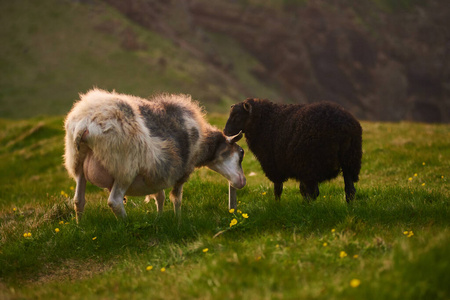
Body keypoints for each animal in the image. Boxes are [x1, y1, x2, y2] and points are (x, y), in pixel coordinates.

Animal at [224, 99, 362, 203]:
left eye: (237, 115)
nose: (225, 132)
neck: (266, 120)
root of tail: (343, 125)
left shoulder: (276, 165)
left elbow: (278, 189)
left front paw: (277, 206)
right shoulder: (298, 164)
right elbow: (302, 189)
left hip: (314, 161)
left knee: (314, 192)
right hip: (350, 160)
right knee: (350, 190)